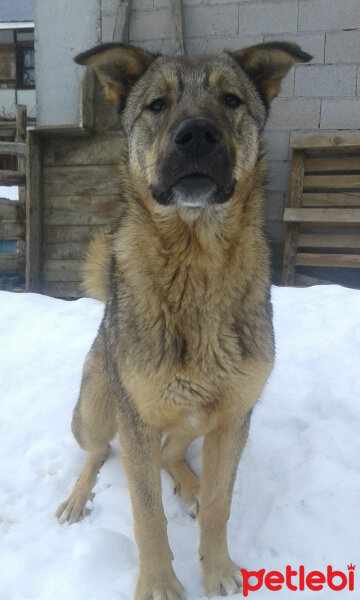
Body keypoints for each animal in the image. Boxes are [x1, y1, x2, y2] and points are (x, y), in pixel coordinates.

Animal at [56, 39, 312, 596]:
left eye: (231, 100)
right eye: (157, 105)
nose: (196, 134)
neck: (197, 265)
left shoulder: (233, 416)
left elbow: (220, 503)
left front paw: (216, 570)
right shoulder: (137, 419)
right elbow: (146, 513)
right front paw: (158, 583)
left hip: (199, 417)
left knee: (173, 452)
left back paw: (189, 486)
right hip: (98, 407)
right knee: (97, 452)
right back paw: (78, 497)